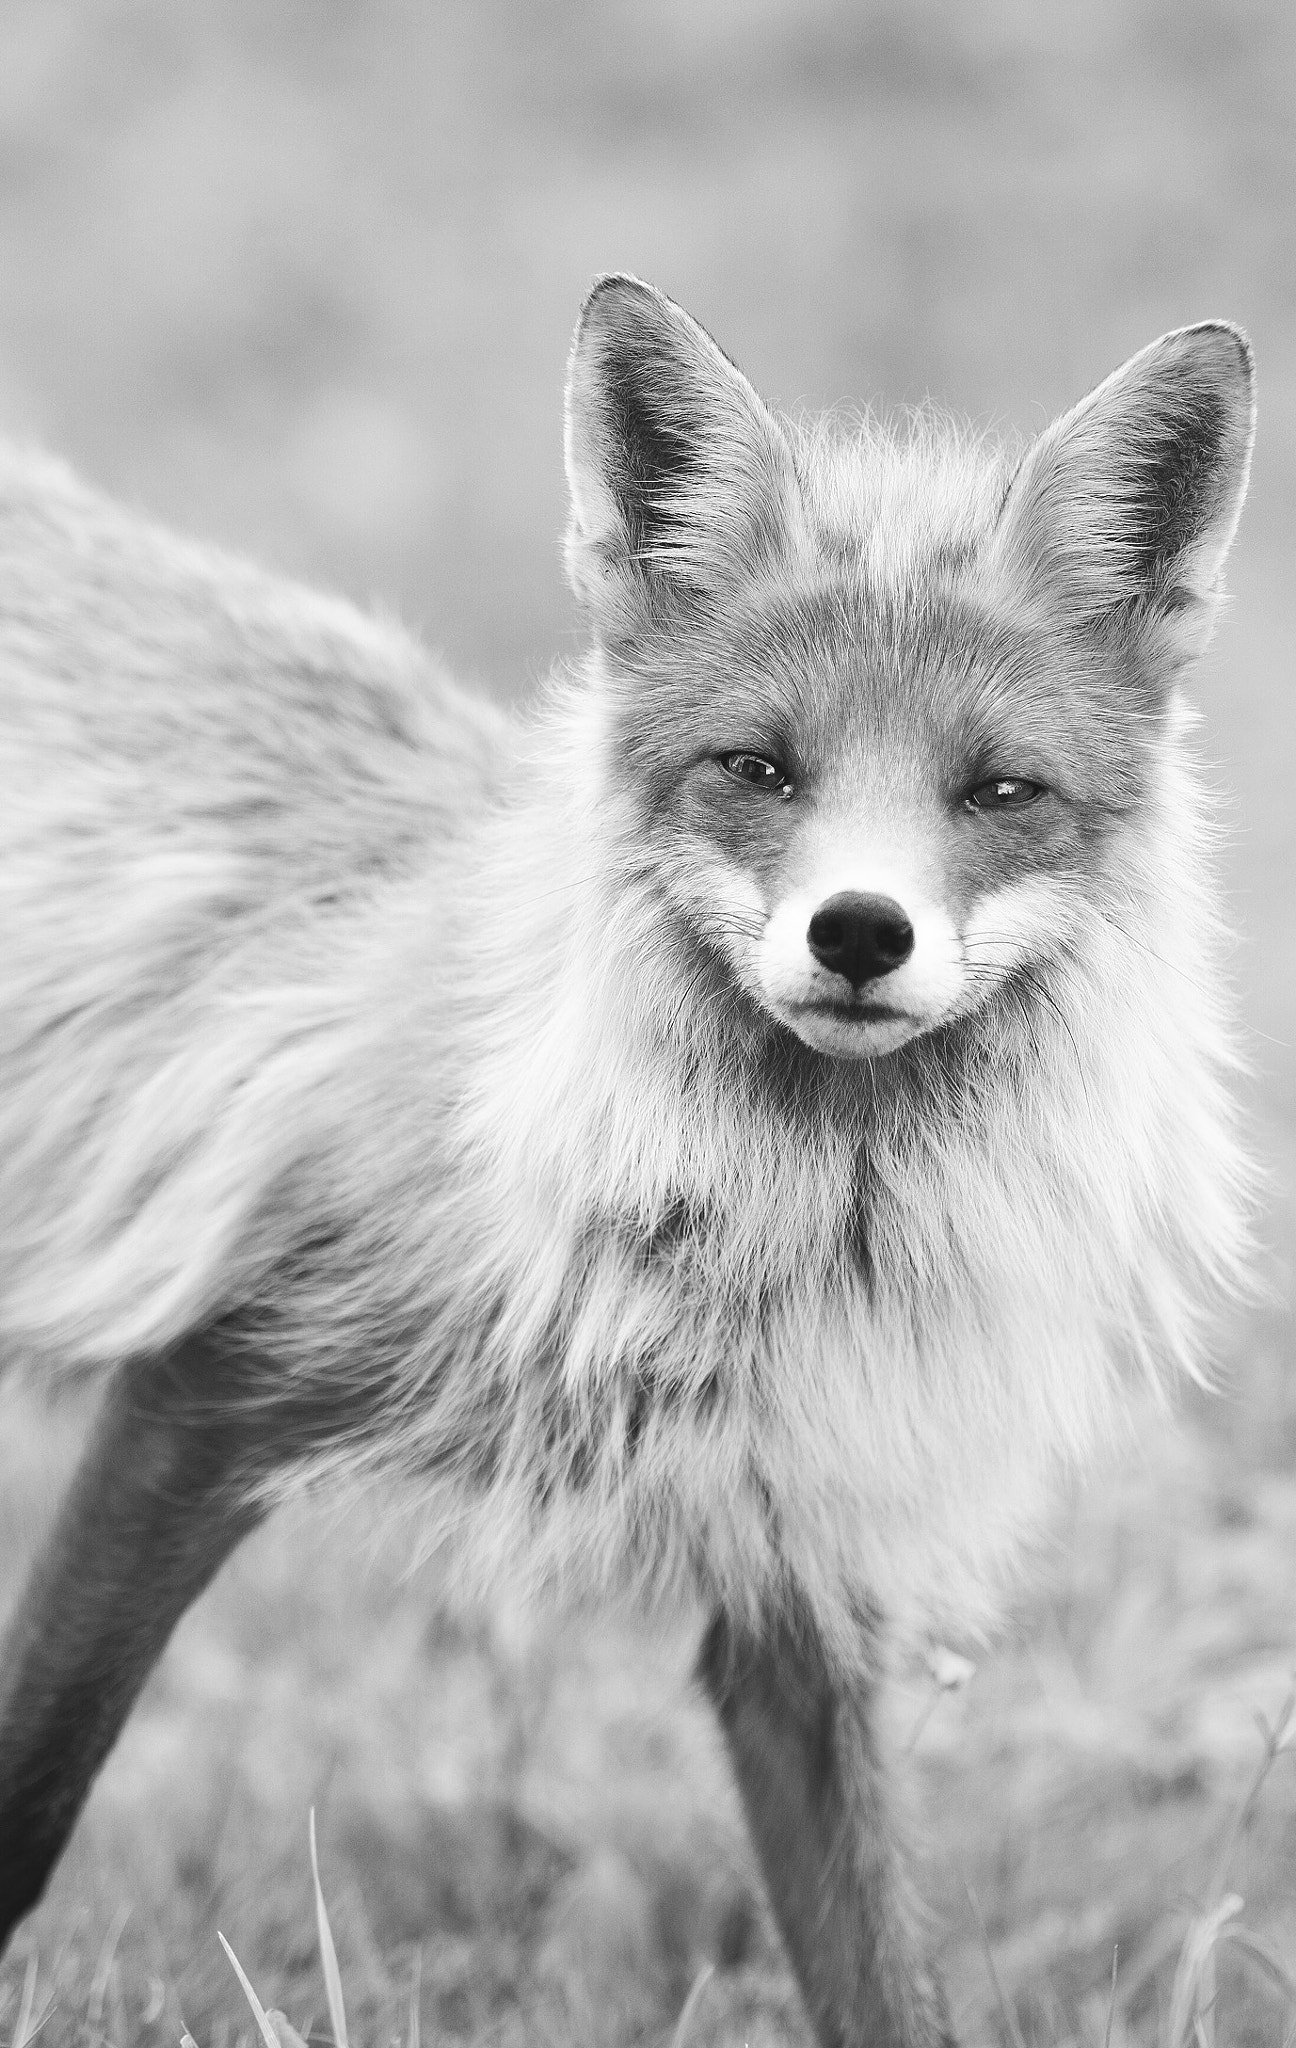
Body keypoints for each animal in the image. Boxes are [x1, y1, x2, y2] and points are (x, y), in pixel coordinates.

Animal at [0, 274, 1256, 2047]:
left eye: (999, 789)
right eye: (758, 768)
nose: (860, 932)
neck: (784, 1234)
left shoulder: (801, 1577)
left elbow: (884, 1976)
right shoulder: (208, 1385)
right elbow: (34, 1784)